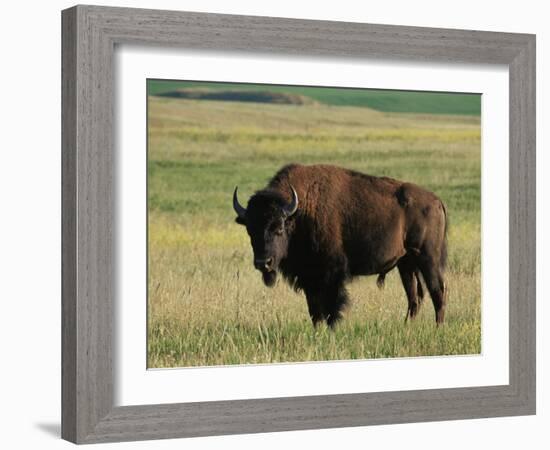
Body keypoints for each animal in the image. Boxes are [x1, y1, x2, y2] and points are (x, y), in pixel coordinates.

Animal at [233, 164, 448, 326]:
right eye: (250, 230)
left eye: (278, 227)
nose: (263, 263)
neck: (300, 212)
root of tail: (436, 201)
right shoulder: (309, 278)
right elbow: (314, 310)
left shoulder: (331, 274)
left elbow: (331, 307)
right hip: (406, 264)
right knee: (415, 297)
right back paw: (406, 326)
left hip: (427, 259)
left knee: (437, 291)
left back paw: (438, 327)